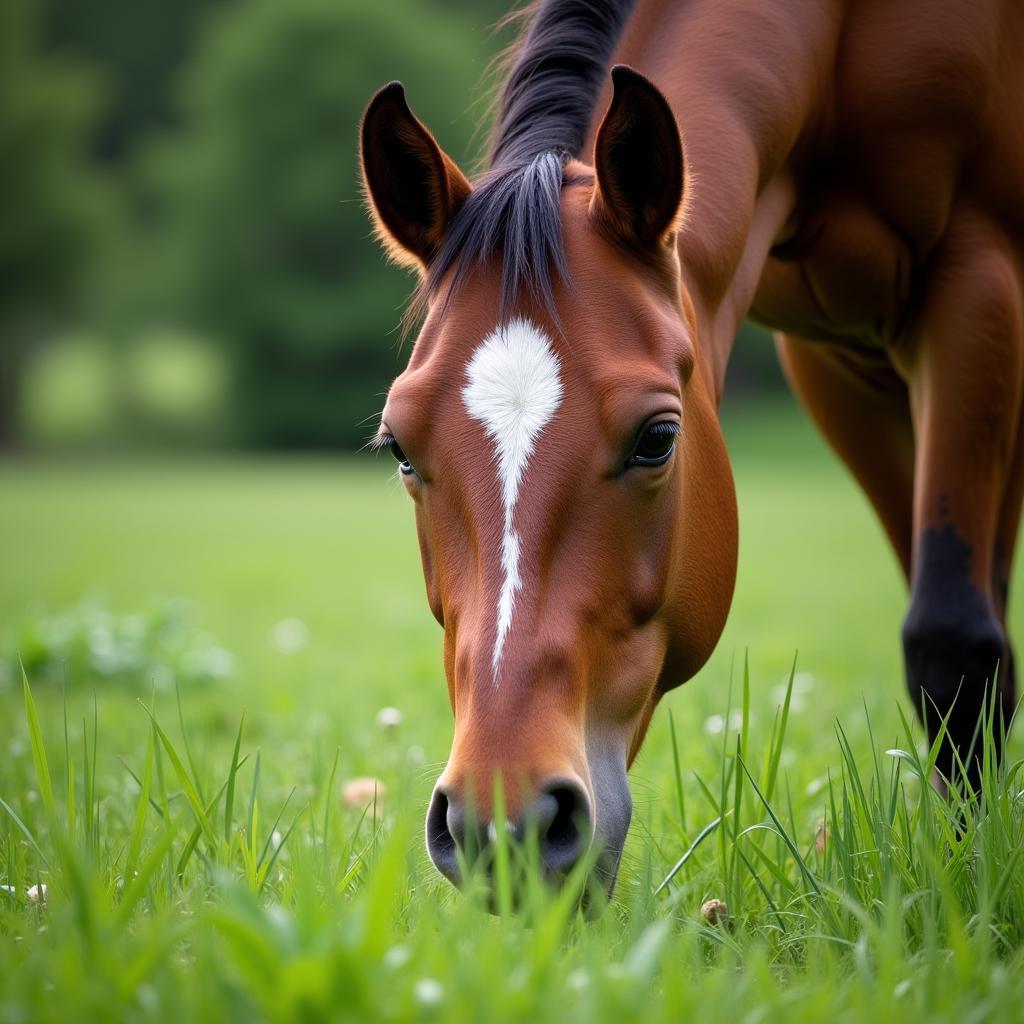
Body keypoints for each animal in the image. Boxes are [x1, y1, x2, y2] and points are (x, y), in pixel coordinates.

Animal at [356, 0, 1019, 897]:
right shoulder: (836, 362)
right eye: (400, 447)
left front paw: (965, 880)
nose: (505, 824)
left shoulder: (978, 278)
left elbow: (952, 640)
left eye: (657, 439)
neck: (845, 39)